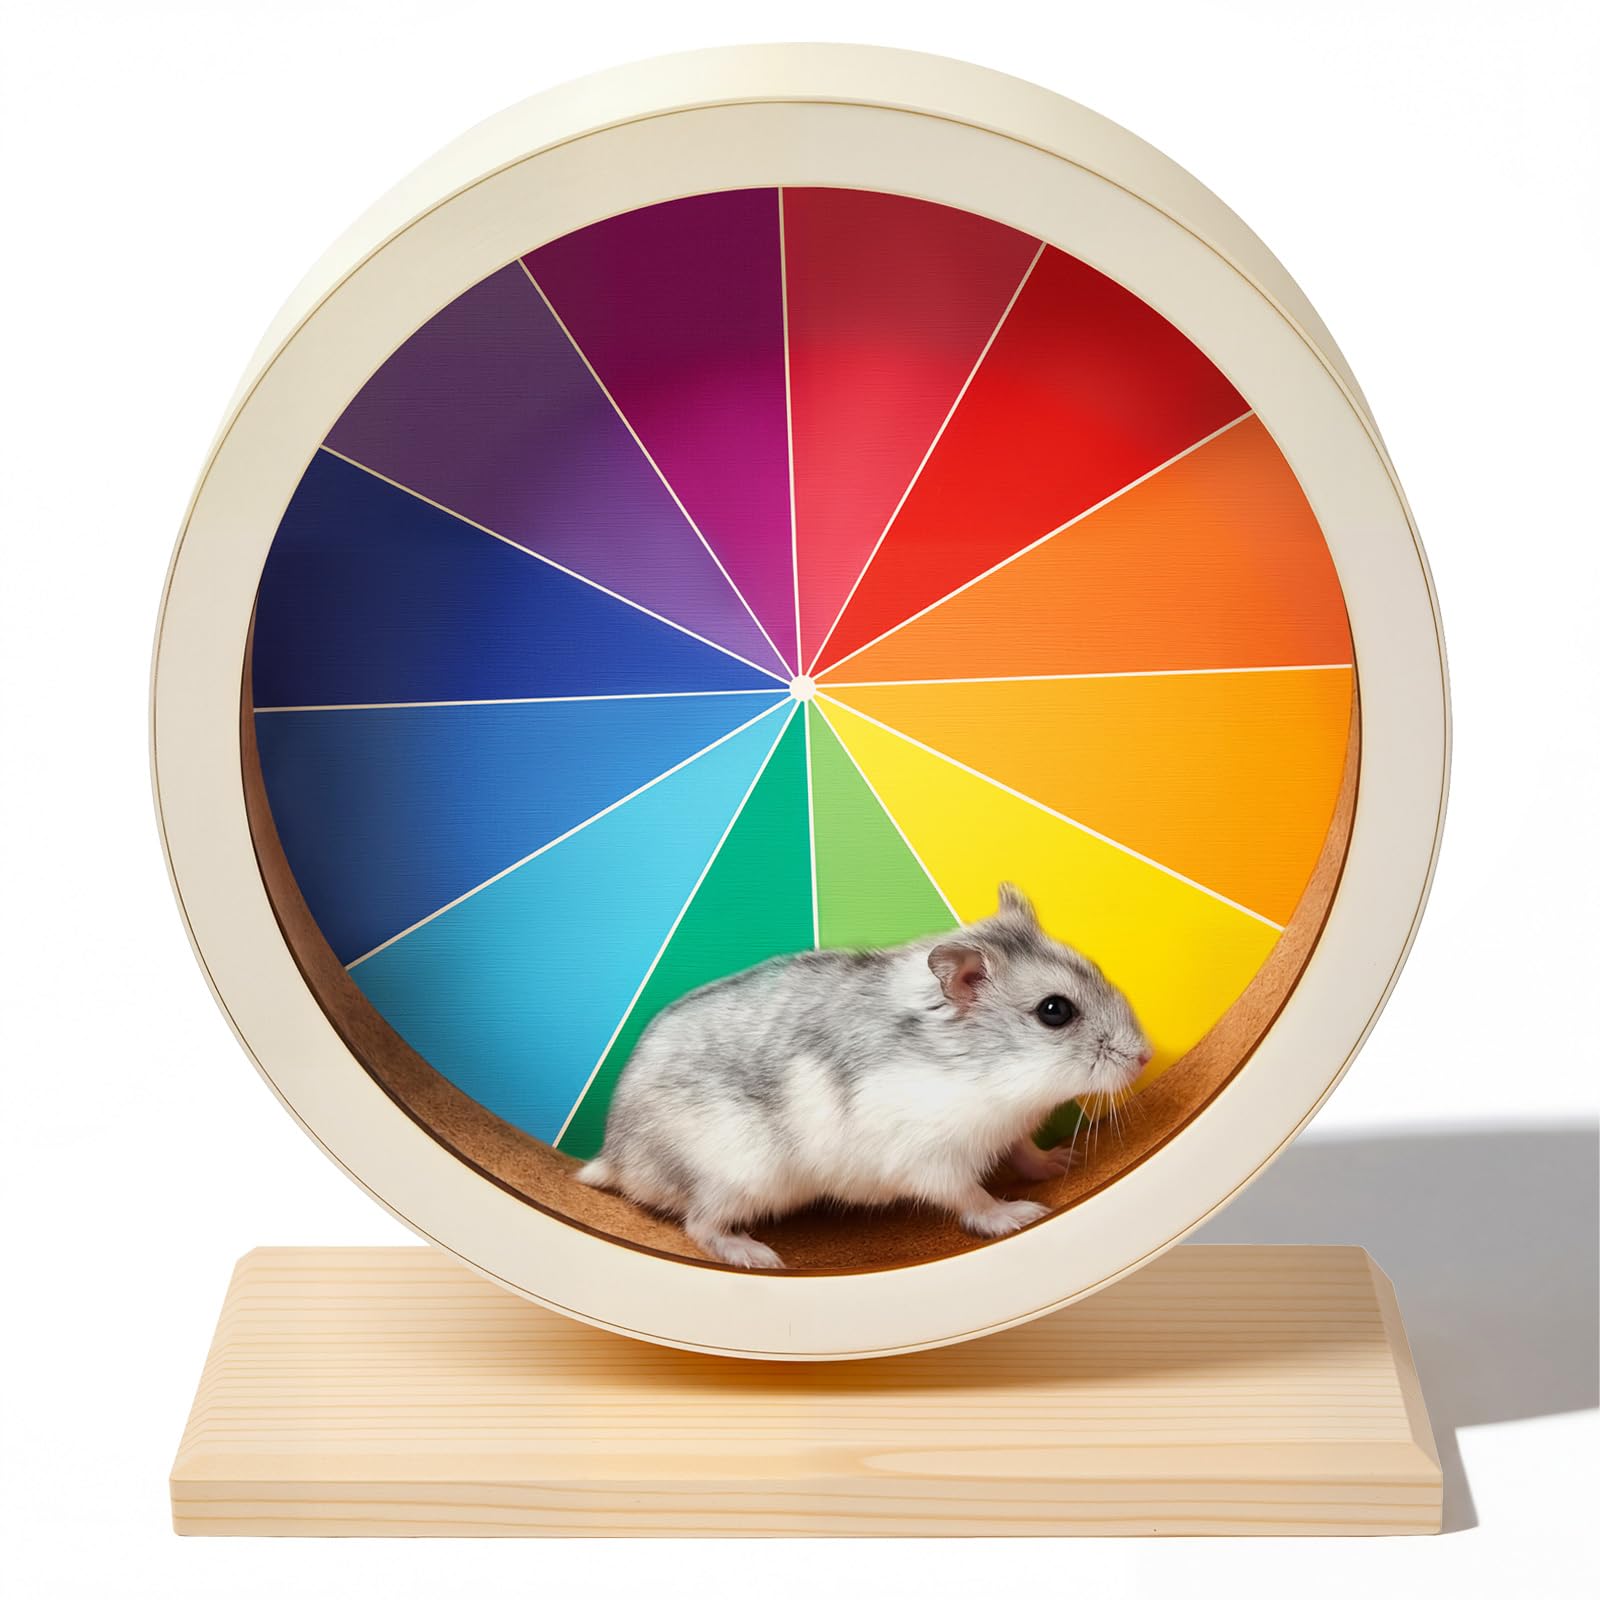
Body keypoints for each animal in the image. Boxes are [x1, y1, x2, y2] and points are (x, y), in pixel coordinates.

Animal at [575, 883, 1153, 1269]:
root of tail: (616, 1157)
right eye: (1055, 1011)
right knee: (699, 1224)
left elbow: (1025, 1152)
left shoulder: (1007, 1131)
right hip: (737, 1178)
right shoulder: (933, 1162)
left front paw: (1062, 1161)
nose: (1146, 1056)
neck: (993, 1074)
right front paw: (1020, 1215)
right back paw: (760, 1256)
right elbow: (970, 1198)